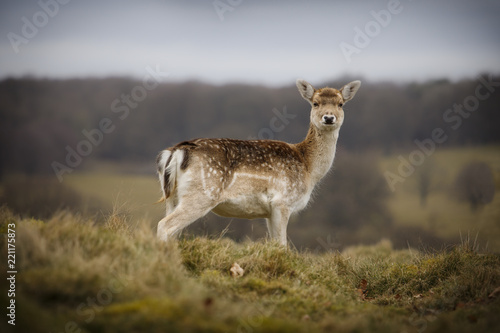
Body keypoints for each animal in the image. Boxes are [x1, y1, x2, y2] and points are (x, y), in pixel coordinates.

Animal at [155, 78, 360, 244]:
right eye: (315, 103)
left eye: (341, 104)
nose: (329, 117)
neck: (308, 168)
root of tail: (176, 152)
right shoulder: (282, 202)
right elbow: (282, 246)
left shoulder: (269, 212)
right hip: (201, 194)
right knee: (164, 225)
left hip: (172, 196)